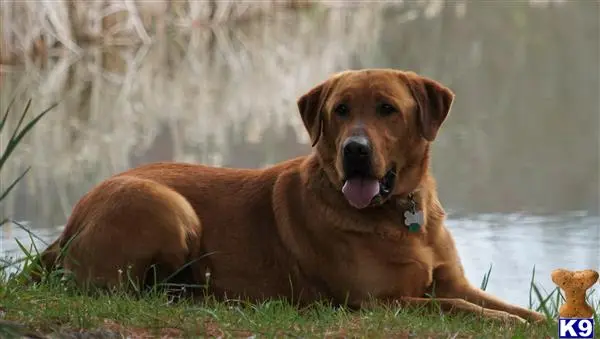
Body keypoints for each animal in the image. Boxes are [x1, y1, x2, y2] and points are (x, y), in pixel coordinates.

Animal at [36, 68, 544, 324]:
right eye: (340, 110)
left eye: (387, 109)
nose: (355, 151)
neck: (397, 215)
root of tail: (67, 226)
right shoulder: (378, 301)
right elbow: (457, 308)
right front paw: (508, 325)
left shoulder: (453, 280)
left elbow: (504, 304)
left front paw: (532, 321)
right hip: (165, 207)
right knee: (126, 290)